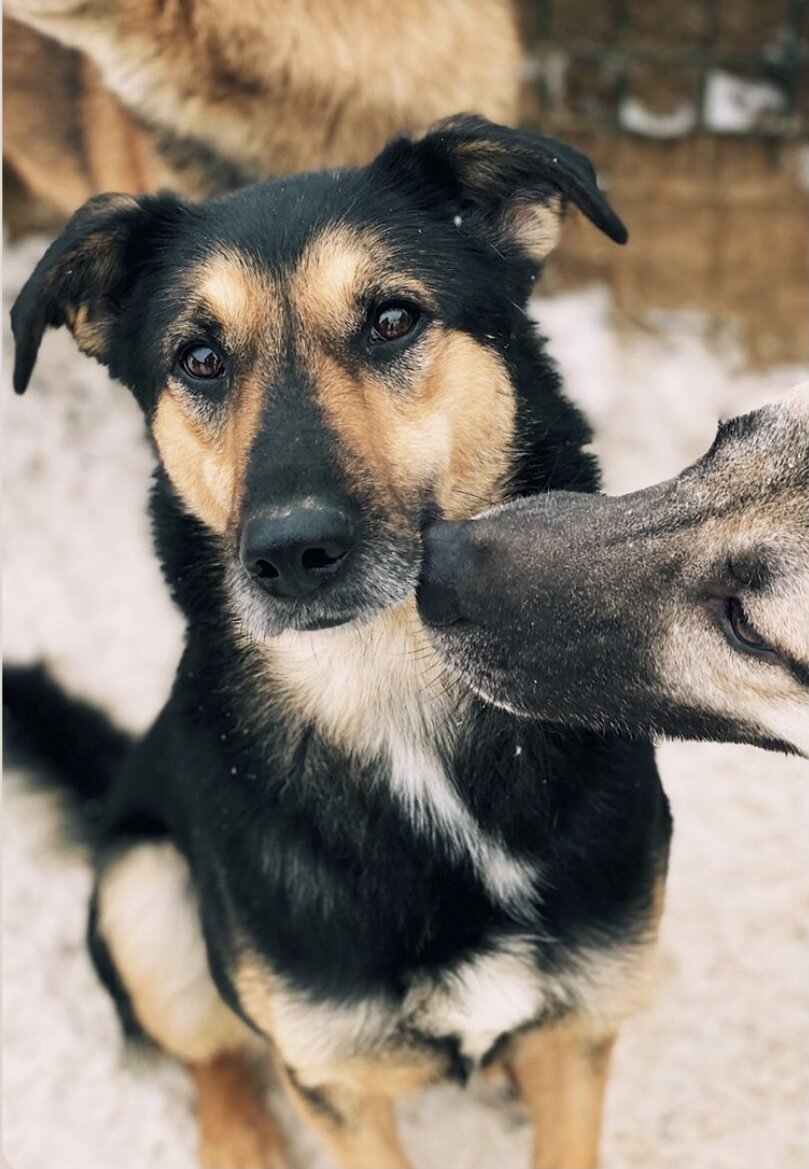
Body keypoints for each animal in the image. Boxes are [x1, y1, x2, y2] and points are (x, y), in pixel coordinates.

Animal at [6, 116, 668, 1169]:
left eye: (392, 319)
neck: (391, 690)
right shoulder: (334, 1078)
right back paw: (242, 1140)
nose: (290, 553)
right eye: (199, 358)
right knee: (212, 1054)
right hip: (143, 888)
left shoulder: (584, 1028)